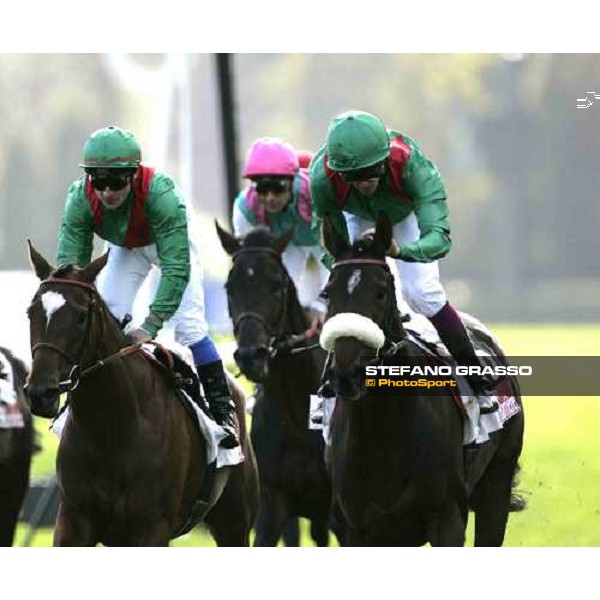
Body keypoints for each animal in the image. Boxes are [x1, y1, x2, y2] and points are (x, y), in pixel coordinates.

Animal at [25, 241, 258, 548]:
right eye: (31, 313)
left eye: (80, 316)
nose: (40, 392)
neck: (112, 428)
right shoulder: (73, 520)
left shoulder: (151, 526)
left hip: (234, 523)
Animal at [322, 213, 524, 548]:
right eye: (327, 293)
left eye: (380, 292)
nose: (348, 374)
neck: (383, 430)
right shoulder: (357, 528)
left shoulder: (446, 515)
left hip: (497, 483)